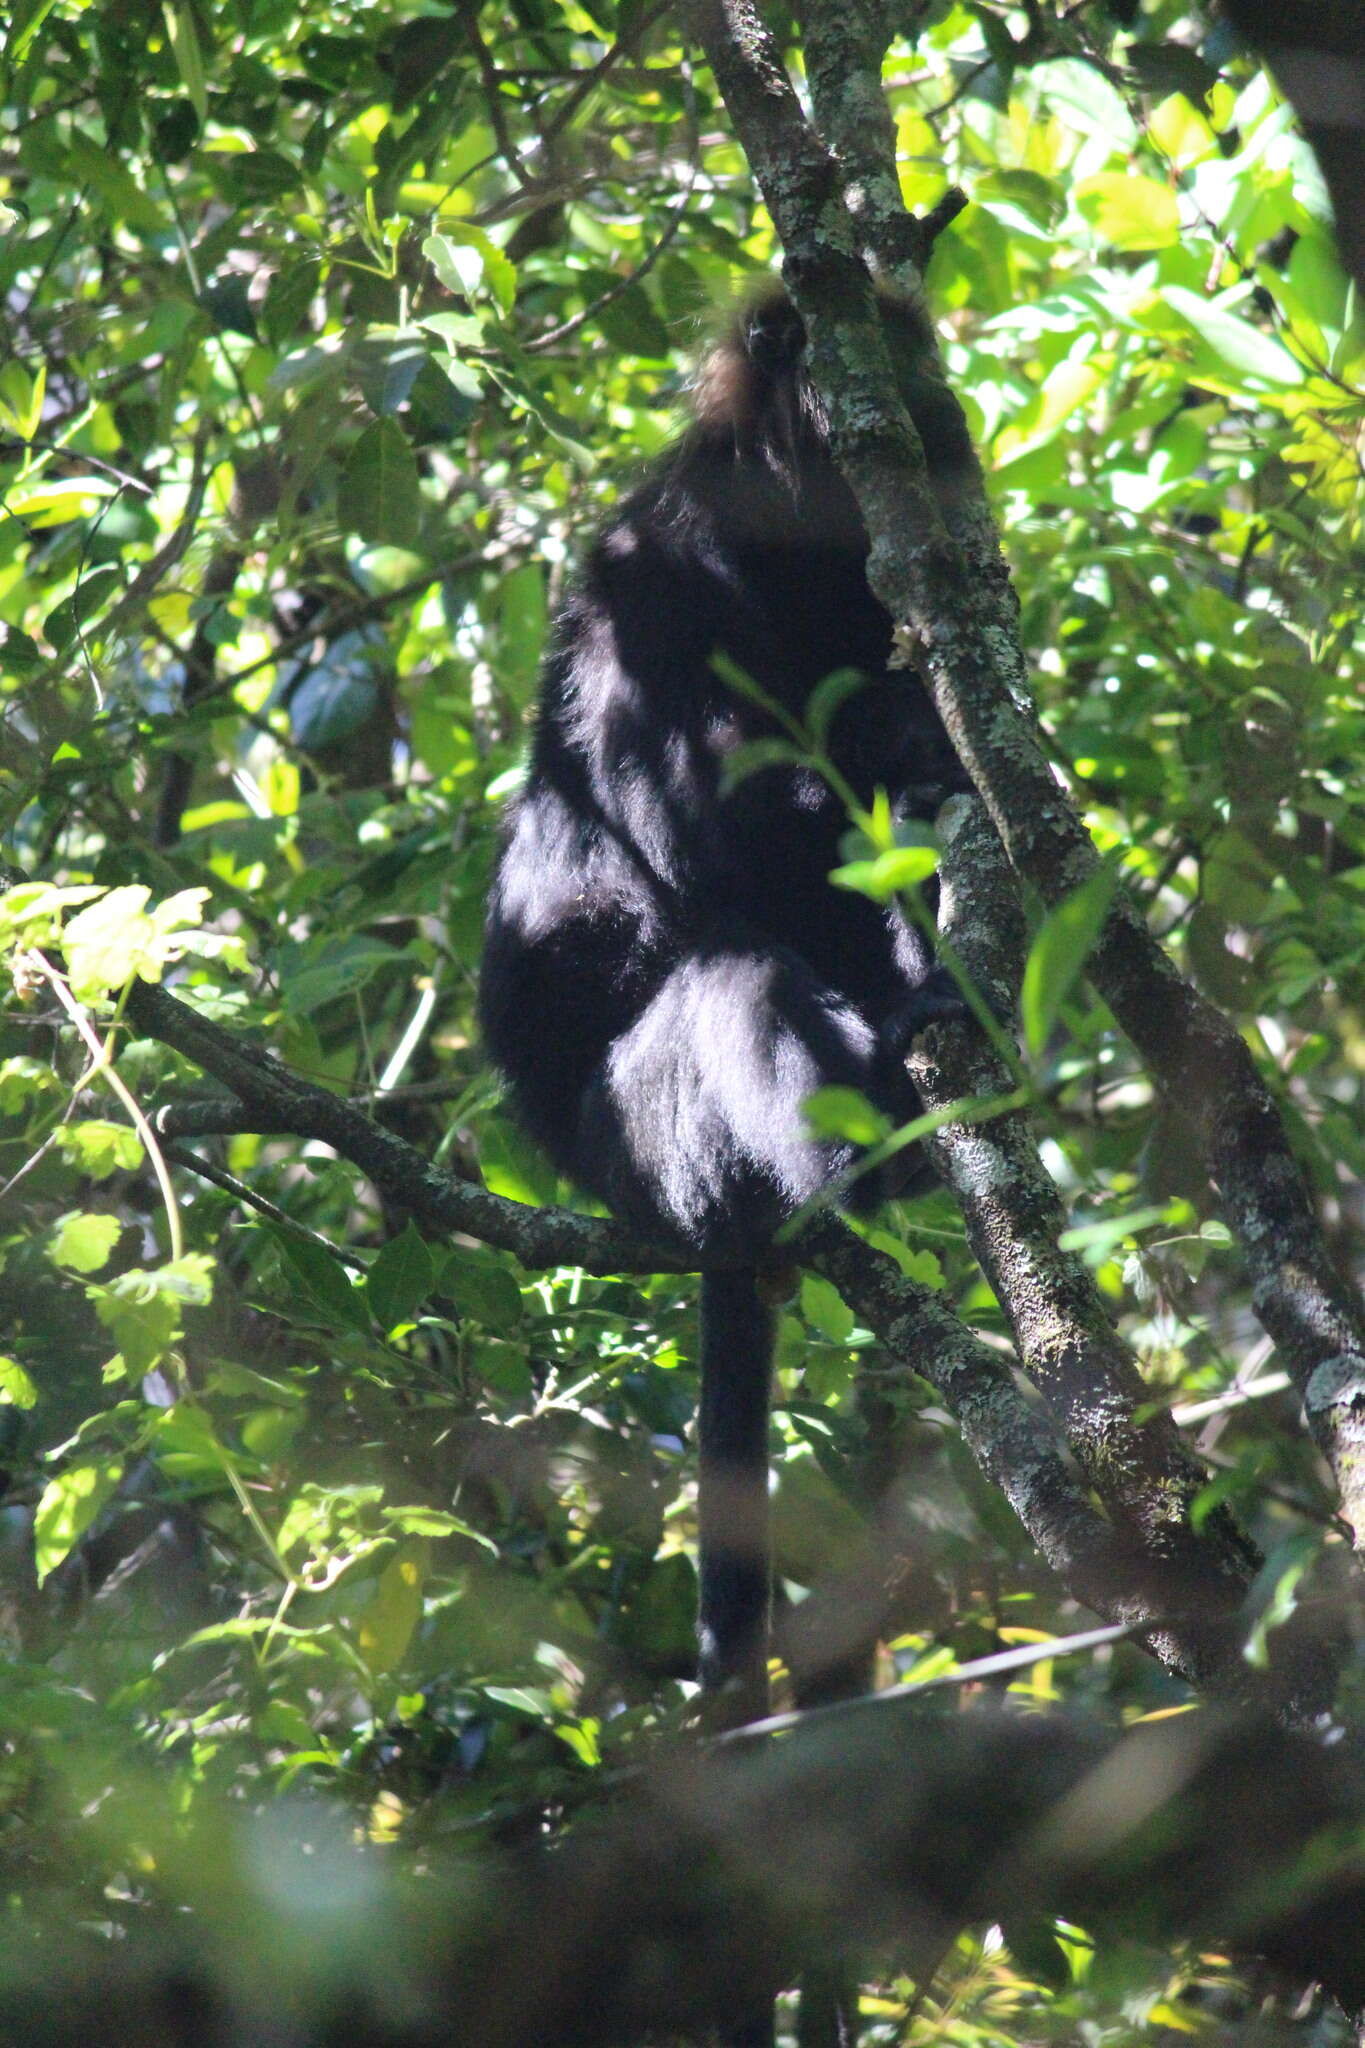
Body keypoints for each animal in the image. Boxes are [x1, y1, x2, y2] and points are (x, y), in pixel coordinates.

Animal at [480, 284, 970, 1744]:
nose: (942, 422)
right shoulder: (651, 579)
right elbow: (705, 832)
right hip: (644, 1146)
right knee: (731, 980)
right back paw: (867, 1157)